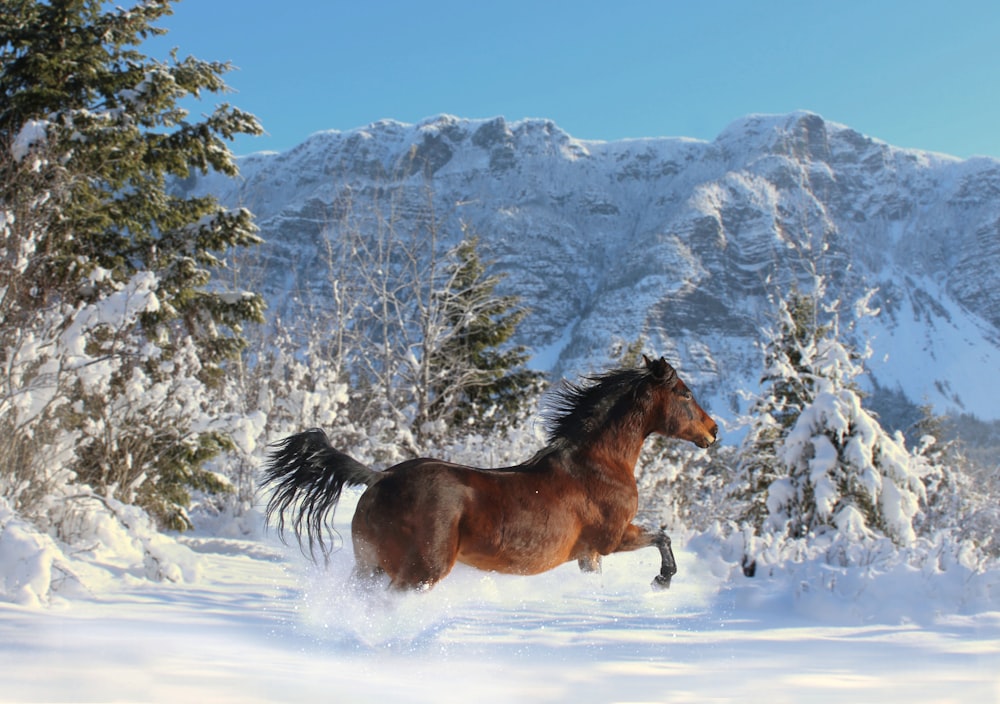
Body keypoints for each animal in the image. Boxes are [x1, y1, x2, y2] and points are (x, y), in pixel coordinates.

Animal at [262, 354, 716, 592]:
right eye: (685, 393)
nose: (713, 430)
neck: (598, 466)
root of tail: (380, 479)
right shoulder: (611, 538)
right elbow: (661, 536)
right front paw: (662, 580)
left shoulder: (589, 555)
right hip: (419, 571)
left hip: (370, 565)